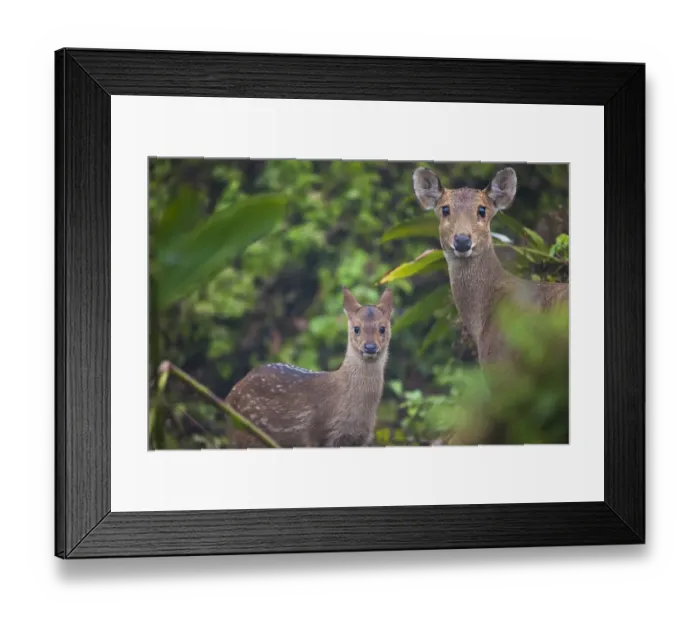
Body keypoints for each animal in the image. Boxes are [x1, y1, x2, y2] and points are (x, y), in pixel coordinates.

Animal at [225, 287, 394, 448]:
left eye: (382, 328)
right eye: (357, 328)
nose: (370, 347)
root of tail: (229, 396)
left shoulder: (361, 439)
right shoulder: (316, 434)